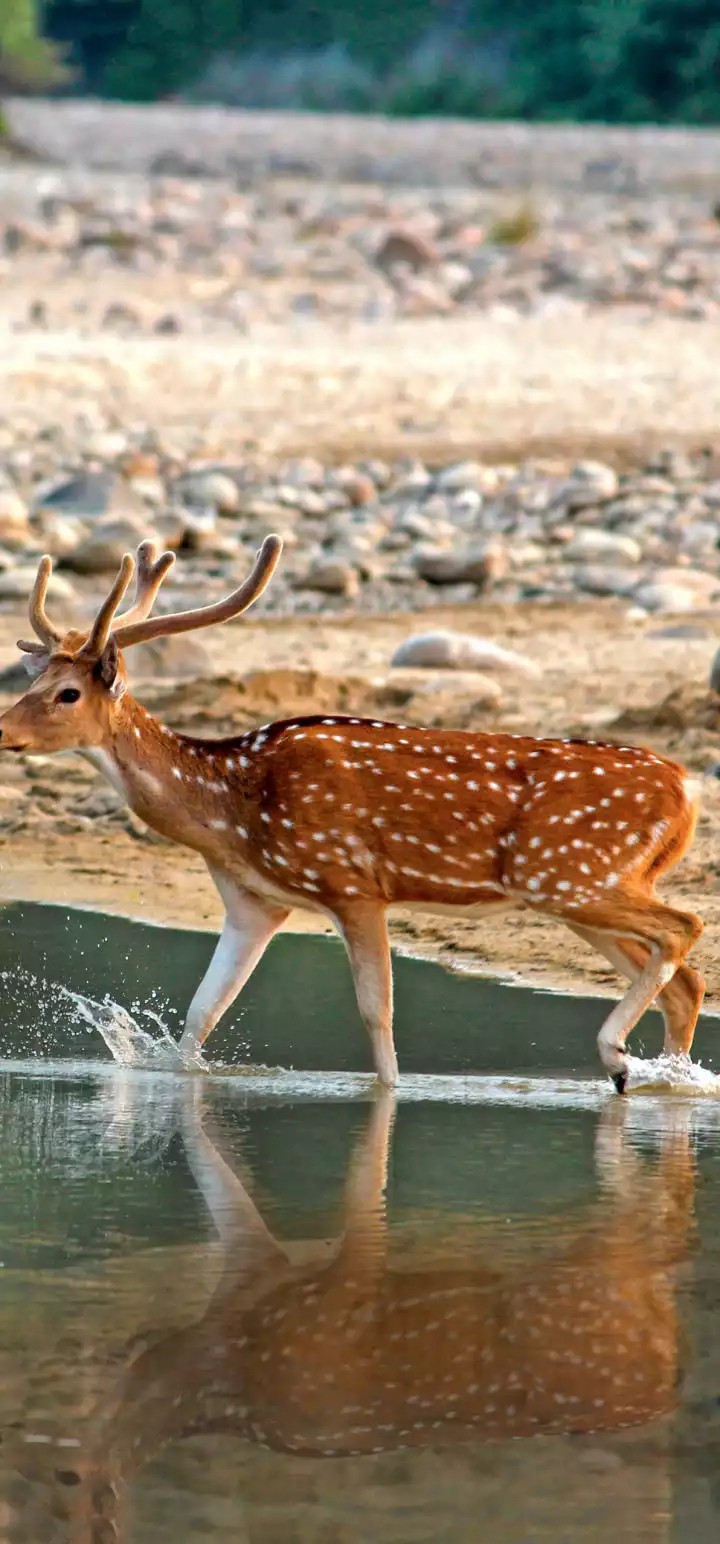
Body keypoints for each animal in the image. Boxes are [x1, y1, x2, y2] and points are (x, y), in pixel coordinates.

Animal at [0, 536, 704, 1092]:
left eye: (68, 694)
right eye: (32, 682)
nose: (3, 730)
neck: (231, 811)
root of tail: (686, 790)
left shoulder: (354, 883)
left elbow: (376, 1016)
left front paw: (387, 1098)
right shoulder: (254, 903)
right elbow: (202, 1014)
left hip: (566, 875)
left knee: (685, 926)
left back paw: (618, 1061)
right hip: (575, 890)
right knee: (685, 983)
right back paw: (663, 1081)